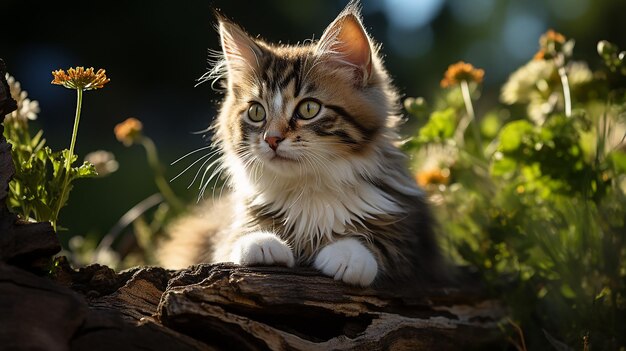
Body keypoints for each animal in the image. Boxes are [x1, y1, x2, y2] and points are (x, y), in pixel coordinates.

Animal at [161, 2, 444, 288]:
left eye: (309, 109)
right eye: (256, 112)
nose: (271, 139)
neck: (308, 188)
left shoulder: (417, 246)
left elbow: (384, 244)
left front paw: (349, 255)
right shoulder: (223, 231)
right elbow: (232, 240)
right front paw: (260, 242)